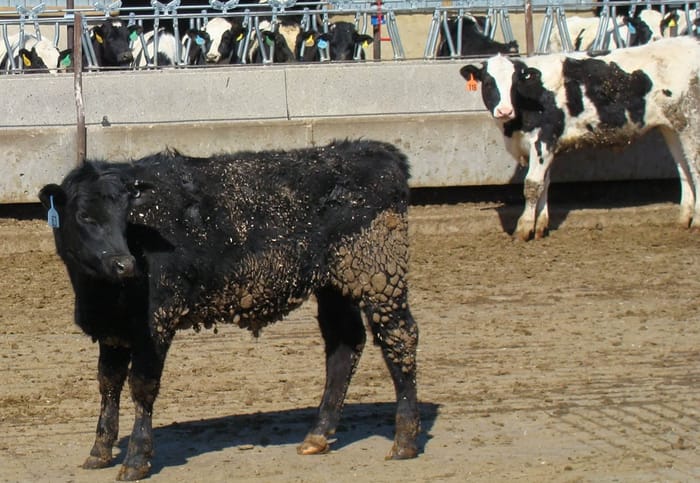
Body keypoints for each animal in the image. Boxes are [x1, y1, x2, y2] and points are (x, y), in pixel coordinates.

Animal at [38, 139, 420, 480]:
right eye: (84, 216)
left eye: (124, 217)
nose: (125, 264)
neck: (98, 293)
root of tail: (378, 151)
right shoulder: (113, 330)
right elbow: (108, 383)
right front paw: (99, 451)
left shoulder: (155, 324)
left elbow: (141, 386)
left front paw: (136, 459)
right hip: (335, 285)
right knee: (344, 346)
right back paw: (318, 435)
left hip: (378, 273)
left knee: (399, 339)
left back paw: (404, 439)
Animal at [459, 36, 700, 240]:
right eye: (488, 83)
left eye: (515, 83)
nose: (504, 111)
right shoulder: (548, 146)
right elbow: (545, 183)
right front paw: (541, 226)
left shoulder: (543, 140)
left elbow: (533, 185)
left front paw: (524, 229)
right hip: (672, 127)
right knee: (683, 168)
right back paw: (683, 218)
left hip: (692, 123)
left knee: (695, 168)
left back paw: (696, 221)